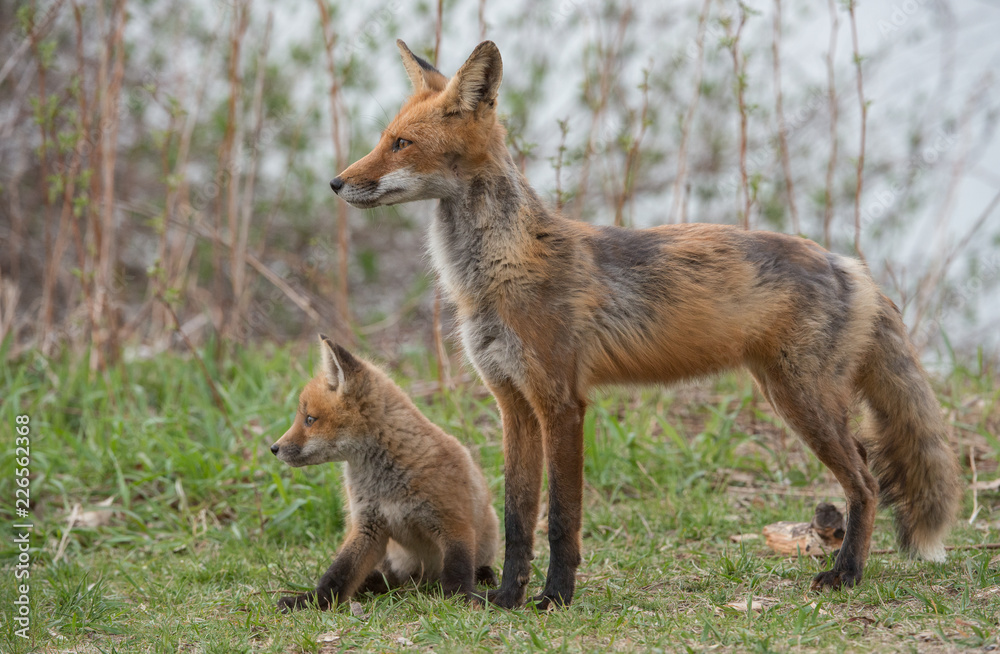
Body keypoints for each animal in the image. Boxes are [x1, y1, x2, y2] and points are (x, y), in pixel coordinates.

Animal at [272, 338, 498, 616]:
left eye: (310, 419)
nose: (274, 448)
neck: (386, 484)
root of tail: (424, 580)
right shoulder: (367, 527)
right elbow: (339, 573)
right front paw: (313, 601)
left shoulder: (454, 522)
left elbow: (458, 571)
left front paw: (463, 600)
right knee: (389, 577)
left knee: (475, 566)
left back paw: (485, 575)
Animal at [326, 39, 960, 608]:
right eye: (383, 138)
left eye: (401, 143)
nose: (335, 182)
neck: (494, 275)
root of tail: (849, 263)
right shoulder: (513, 403)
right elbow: (515, 518)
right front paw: (506, 597)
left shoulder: (561, 402)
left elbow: (562, 518)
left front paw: (556, 597)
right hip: (793, 396)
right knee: (867, 471)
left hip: (803, 402)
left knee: (867, 482)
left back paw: (847, 573)